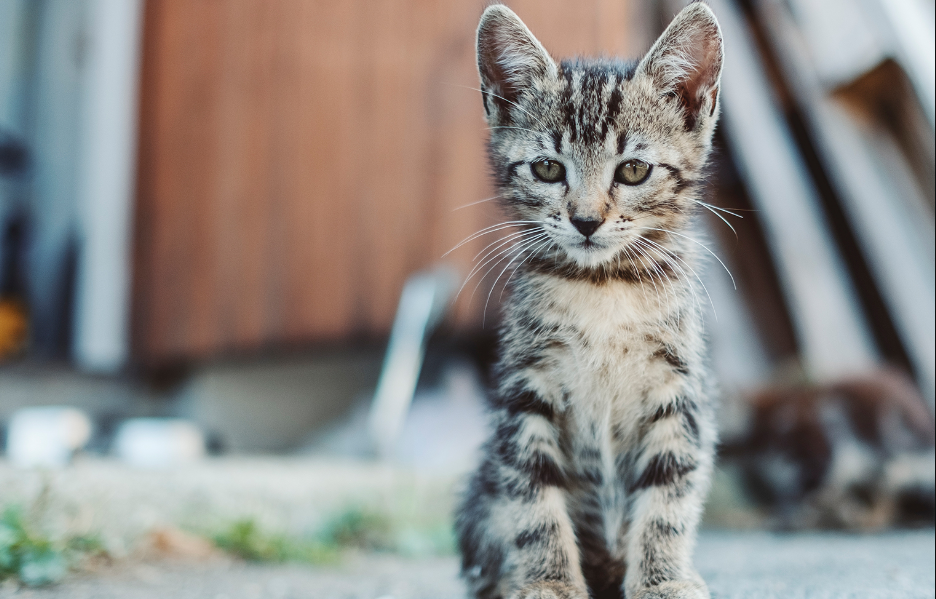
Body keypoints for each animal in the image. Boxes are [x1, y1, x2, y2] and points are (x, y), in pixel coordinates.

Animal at [456, 4, 724, 599]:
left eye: (633, 170)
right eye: (548, 168)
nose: (585, 220)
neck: (603, 286)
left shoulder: (680, 390)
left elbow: (669, 496)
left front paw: (663, 580)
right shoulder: (524, 391)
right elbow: (532, 498)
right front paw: (549, 583)